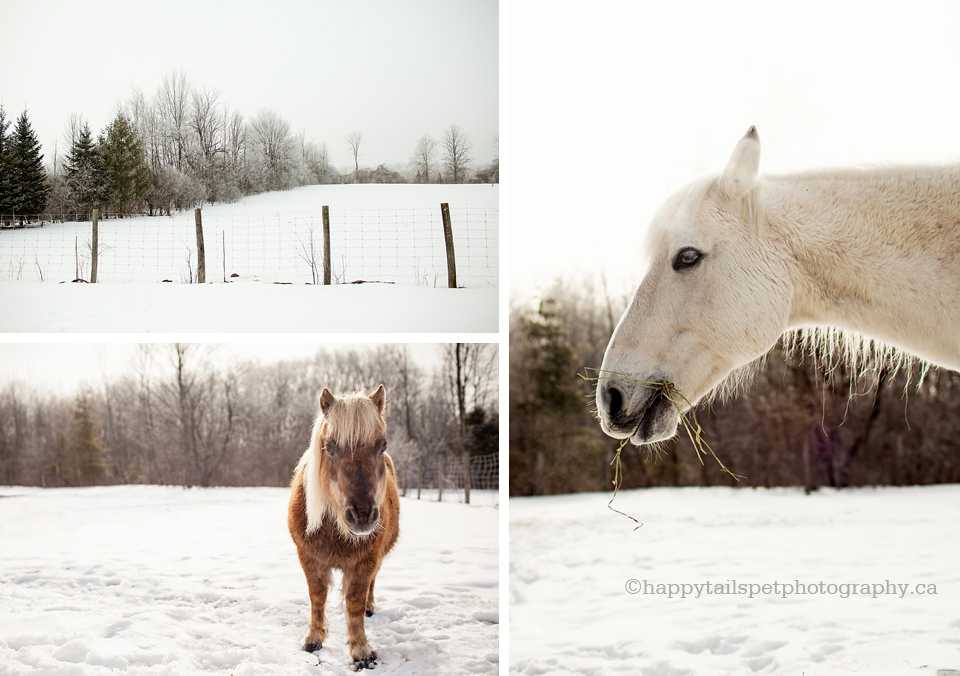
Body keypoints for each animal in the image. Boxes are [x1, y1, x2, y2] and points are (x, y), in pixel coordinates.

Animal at [288, 386, 402, 672]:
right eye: (330, 448)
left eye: (382, 446)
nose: (362, 516)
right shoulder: (310, 558)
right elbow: (317, 596)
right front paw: (314, 638)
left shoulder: (365, 562)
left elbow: (355, 604)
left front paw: (361, 650)